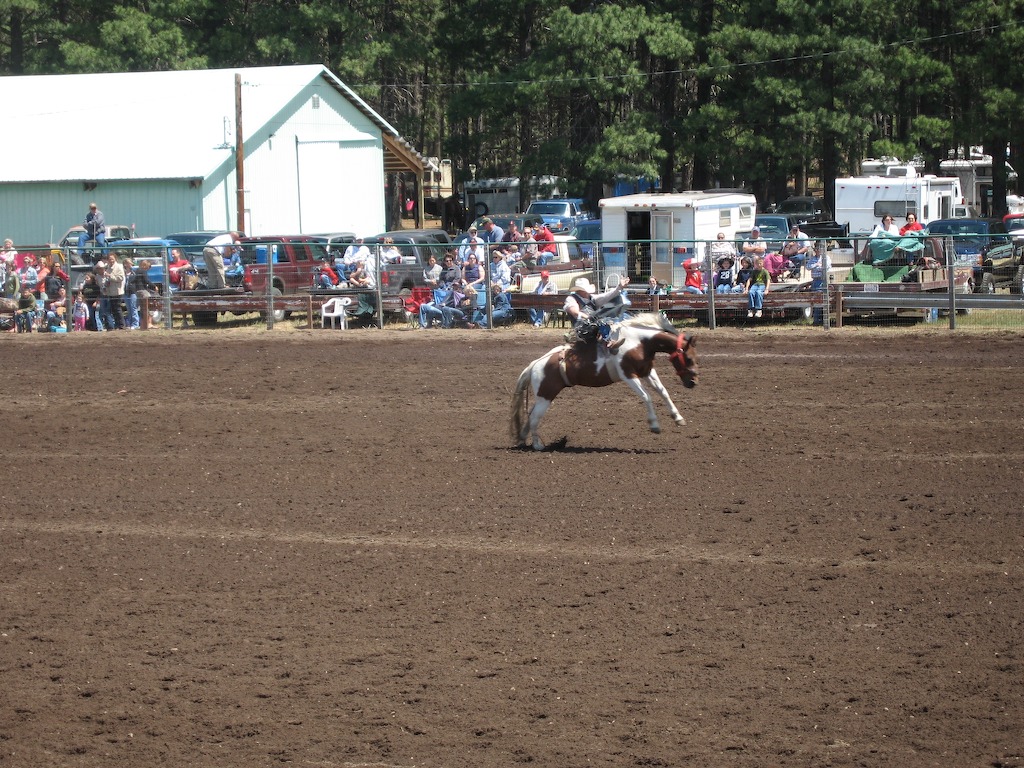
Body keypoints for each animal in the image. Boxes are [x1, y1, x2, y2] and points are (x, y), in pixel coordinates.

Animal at [509, 313, 698, 451]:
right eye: (688, 358)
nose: (693, 382)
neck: (639, 341)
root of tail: (534, 365)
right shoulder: (628, 374)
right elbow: (647, 396)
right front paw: (654, 425)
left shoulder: (647, 371)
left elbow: (663, 391)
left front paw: (678, 418)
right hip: (545, 397)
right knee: (534, 417)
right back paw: (537, 445)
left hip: (543, 396)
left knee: (530, 416)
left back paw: (523, 440)